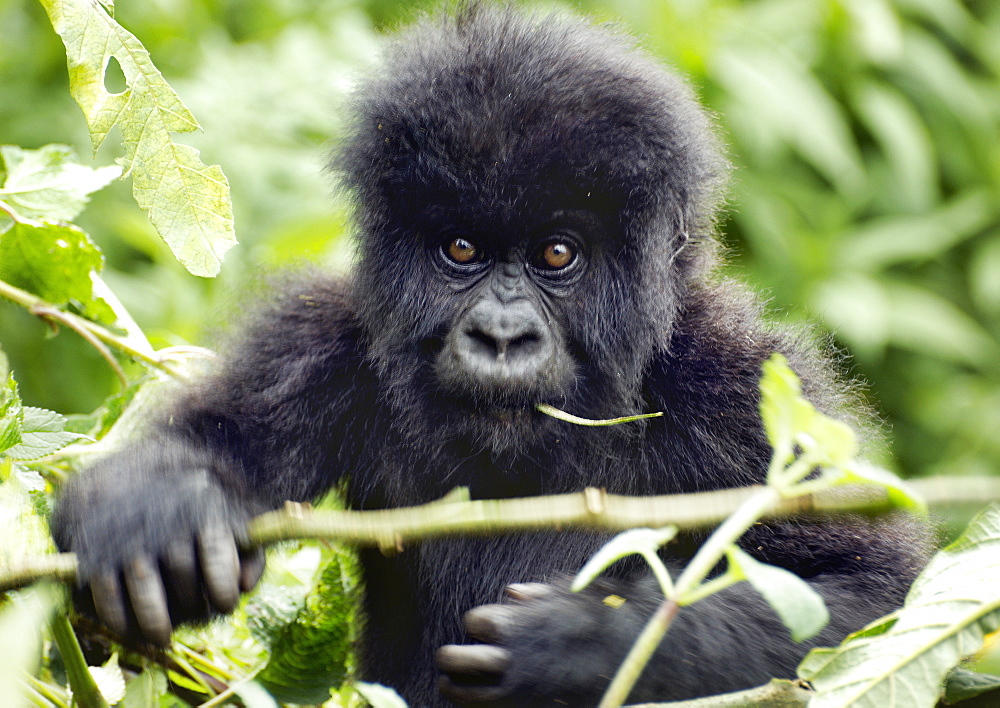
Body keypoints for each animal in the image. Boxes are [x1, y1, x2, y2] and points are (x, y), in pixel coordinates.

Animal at [54, 2, 928, 704]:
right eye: (462, 250)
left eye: (556, 255)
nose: (501, 337)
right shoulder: (317, 340)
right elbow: (209, 443)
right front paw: (155, 514)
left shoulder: (737, 386)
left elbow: (867, 595)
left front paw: (580, 650)